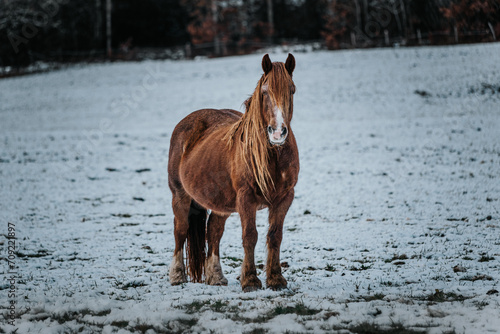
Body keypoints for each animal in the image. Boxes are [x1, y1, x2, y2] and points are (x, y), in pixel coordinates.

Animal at [168, 53, 300, 290]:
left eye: (291, 90)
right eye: (265, 92)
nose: (277, 133)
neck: (272, 156)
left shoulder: (285, 197)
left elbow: (275, 236)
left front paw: (276, 278)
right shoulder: (246, 198)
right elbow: (250, 236)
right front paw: (250, 280)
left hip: (220, 203)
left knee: (214, 231)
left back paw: (215, 277)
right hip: (179, 195)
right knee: (180, 230)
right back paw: (177, 276)